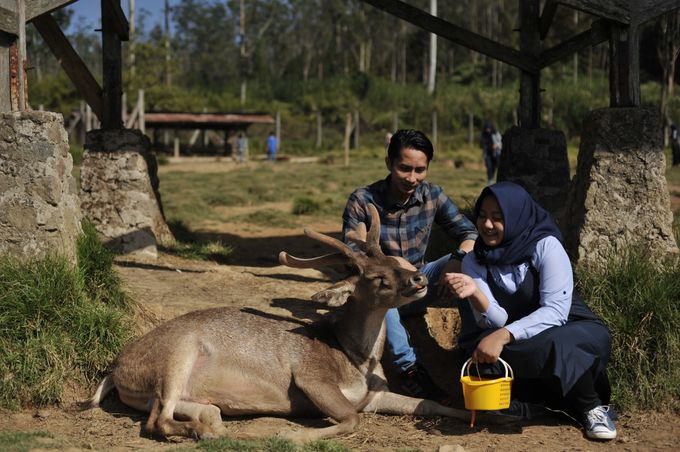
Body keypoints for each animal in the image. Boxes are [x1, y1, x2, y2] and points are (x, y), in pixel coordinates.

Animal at [85, 205, 478, 442]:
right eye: (377, 278)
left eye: (398, 263)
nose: (419, 279)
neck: (354, 359)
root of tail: (114, 369)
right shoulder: (310, 376)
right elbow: (352, 419)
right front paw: (294, 436)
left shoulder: (374, 394)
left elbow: (429, 403)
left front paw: (479, 413)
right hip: (177, 354)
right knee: (156, 421)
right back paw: (208, 433)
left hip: (170, 390)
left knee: (190, 410)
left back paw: (212, 425)